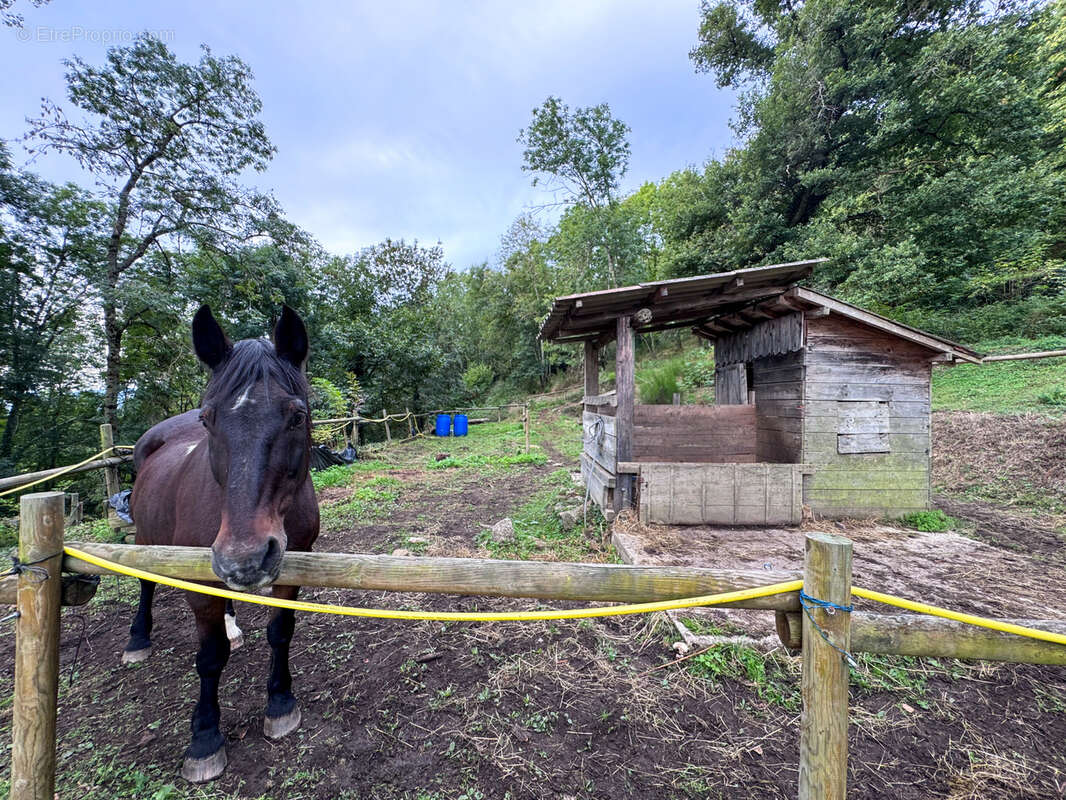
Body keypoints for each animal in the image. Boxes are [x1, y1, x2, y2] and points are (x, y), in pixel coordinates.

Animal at [123, 305, 315, 785]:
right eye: (209, 419)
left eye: (297, 416)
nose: (244, 558)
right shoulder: (199, 587)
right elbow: (210, 657)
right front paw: (205, 739)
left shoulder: (294, 569)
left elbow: (280, 632)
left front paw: (280, 704)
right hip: (147, 539)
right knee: (145, 584)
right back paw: (137, 639)